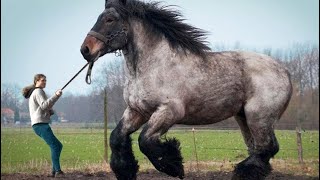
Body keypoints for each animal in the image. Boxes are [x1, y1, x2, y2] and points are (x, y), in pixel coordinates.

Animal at [80, 0, 292, 179]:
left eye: (109, 19)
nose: (86, 50)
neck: (154, 65)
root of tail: (284, 71)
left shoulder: (169, 111)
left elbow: (145, 140)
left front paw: (174, 166)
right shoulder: (137, 111)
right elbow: (117, 137)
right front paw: (126, 171)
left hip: (259, 117)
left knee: (267, 147)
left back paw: (242, 172)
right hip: (243, 117)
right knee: (258, 149)